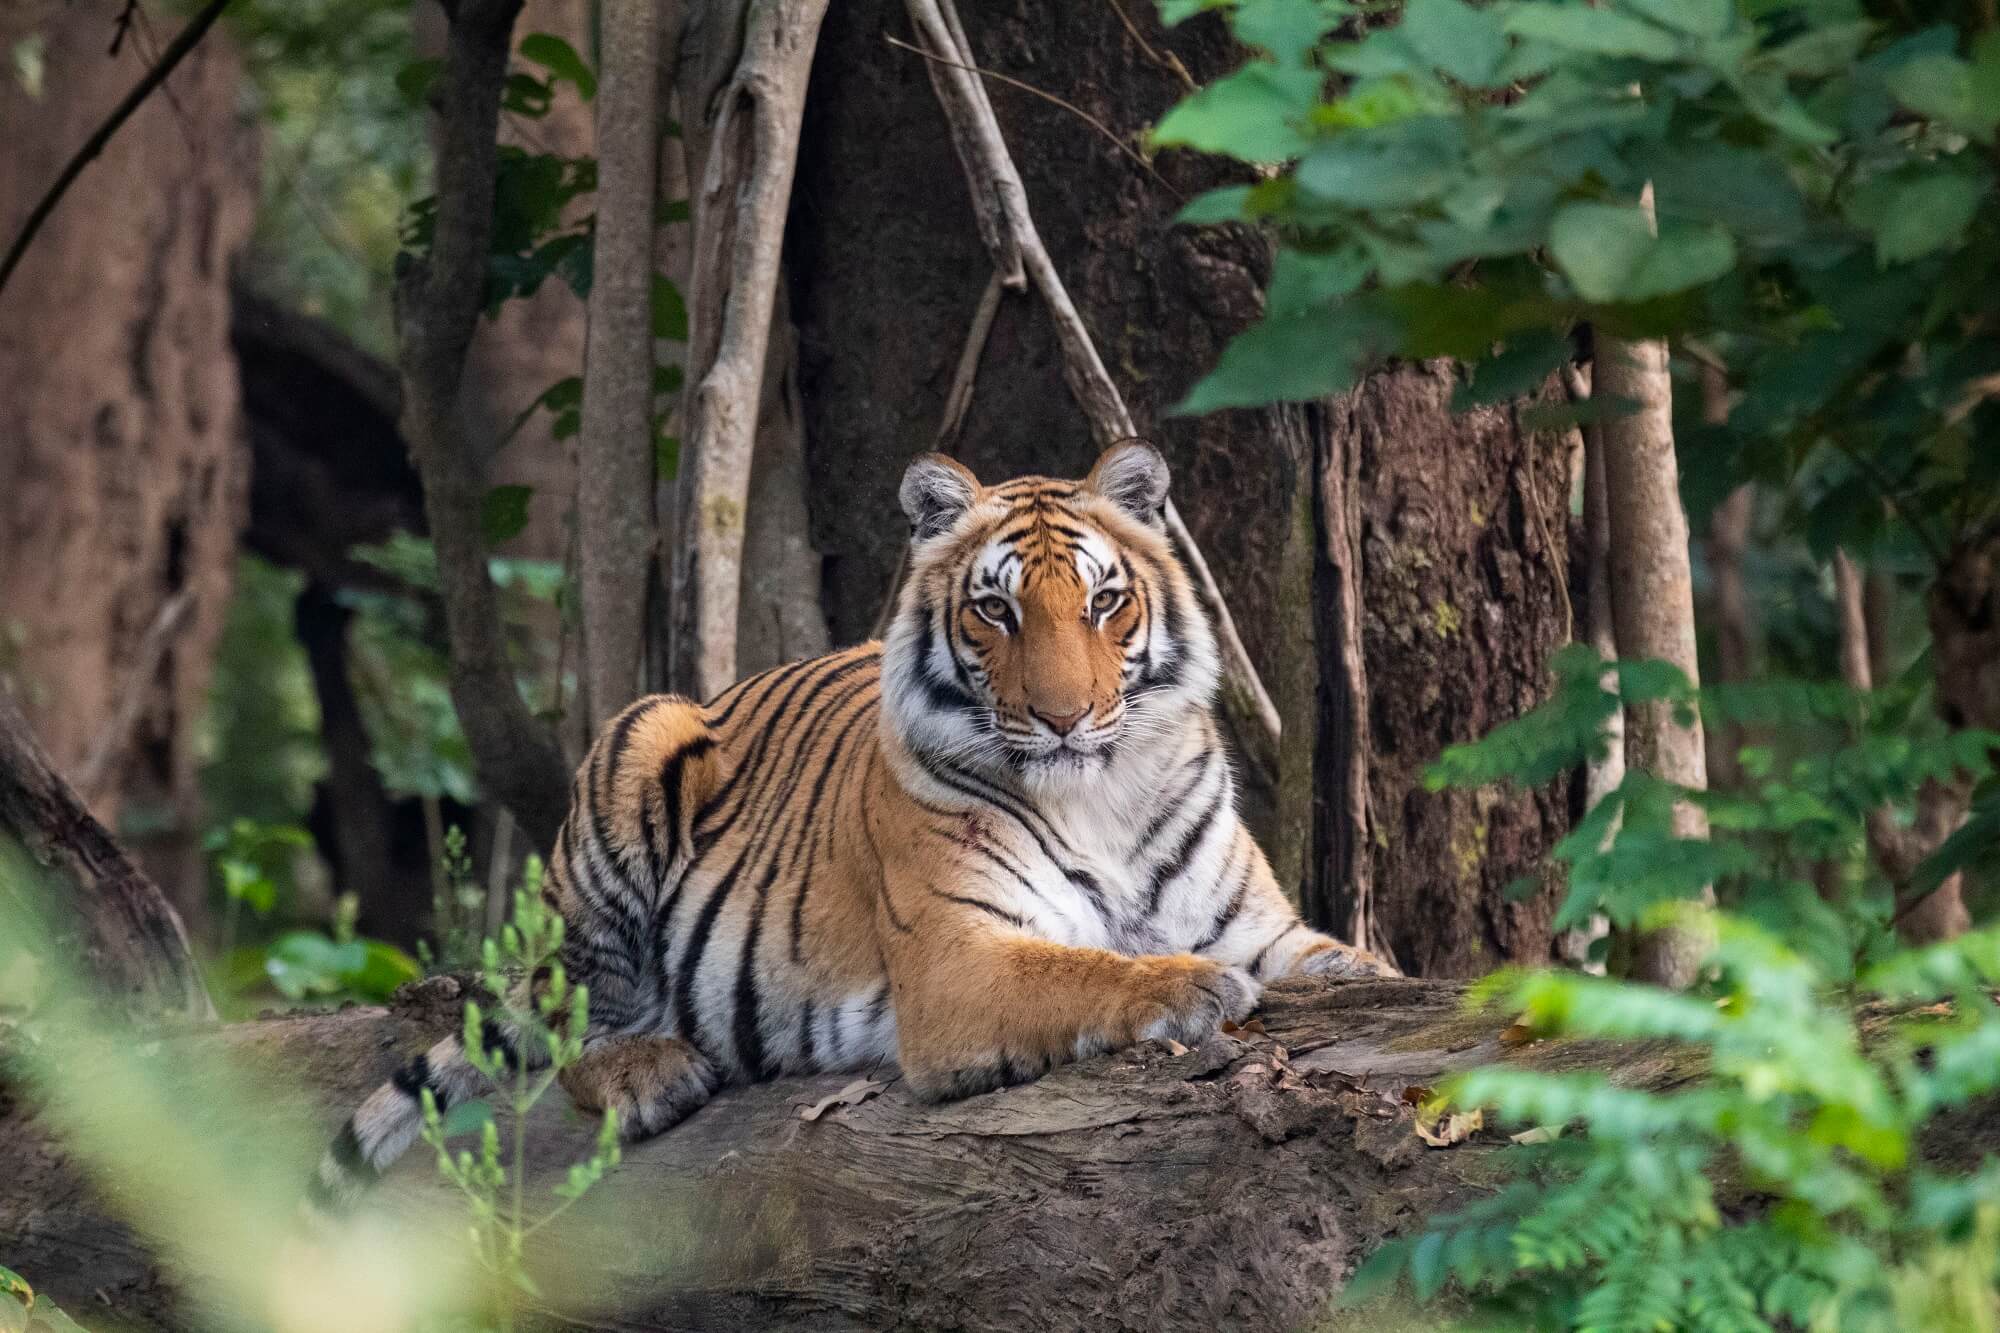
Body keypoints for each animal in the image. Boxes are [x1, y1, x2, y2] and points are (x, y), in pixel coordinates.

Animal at [312, 440, 1395, 1212]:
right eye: (996, 610)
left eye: (1103, 601)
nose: (1062, 717)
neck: (1102, 794)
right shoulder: (959, 960)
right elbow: (1083, 968)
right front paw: (1191, 986)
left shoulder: (1272, 931)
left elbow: (1363, 968)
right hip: (639, 737)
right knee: (576, 1019)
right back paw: (649, 1071)